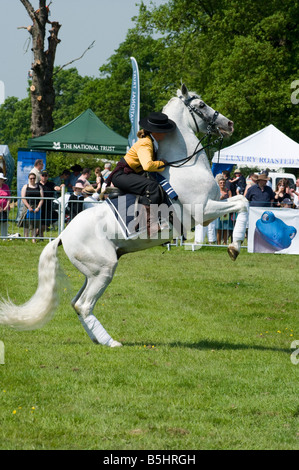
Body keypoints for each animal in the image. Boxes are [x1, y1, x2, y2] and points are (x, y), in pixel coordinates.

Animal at [0, 86, 250, 346]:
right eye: (201, 105)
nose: (229, 124)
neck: (186, 167)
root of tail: (63, 235)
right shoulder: (205, 210)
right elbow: (242, 204)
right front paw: (234, 248)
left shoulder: (213, 207)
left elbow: (242, 202)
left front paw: (234, 245)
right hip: (104, 269)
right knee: (84, 305)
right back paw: (111, 342)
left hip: (91, 272)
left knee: (76, 304)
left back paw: (98, 339)